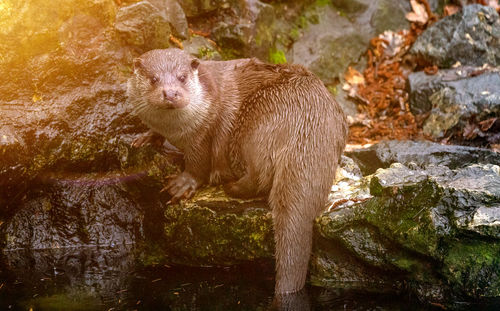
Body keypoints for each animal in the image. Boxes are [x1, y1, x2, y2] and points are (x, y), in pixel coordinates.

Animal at [126, 48, 348, 298]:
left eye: (182, 77)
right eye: (154, 79)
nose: (171, 93)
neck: (175, 129)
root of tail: (308, 123)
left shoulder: (203, 134)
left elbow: (198, 164)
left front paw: (183, 184)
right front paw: (148, 137)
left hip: (255, 122)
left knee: (259, 176)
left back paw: (232, 188)